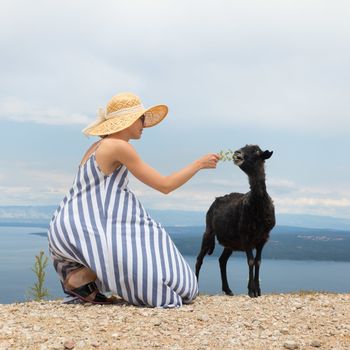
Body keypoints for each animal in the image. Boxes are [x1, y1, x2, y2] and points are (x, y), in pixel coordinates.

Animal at [196, 144, 274, 296]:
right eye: (243, 147)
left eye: (257, 151)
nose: (237, 153)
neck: (258, 206)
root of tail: (216, 199)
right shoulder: (246, 235)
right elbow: (250, 261)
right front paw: (251, 291)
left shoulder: (264, 238)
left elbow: (258, 261)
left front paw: (258, 290)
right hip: (209, 230)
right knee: (199, 259)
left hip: (230, 242)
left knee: (222, 260)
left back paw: (228, 290)